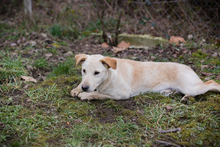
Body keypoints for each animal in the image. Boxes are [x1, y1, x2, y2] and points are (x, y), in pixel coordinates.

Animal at [70, 54, 220, 101]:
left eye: (97, 73)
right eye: (83, 71)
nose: (85, 87)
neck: (109, 77)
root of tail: (188, 67)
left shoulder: (122, 94)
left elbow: (100, 94)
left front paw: (87, 95)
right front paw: (77, 89)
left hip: (190, 86)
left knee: (212, 83)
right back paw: (185, 98)